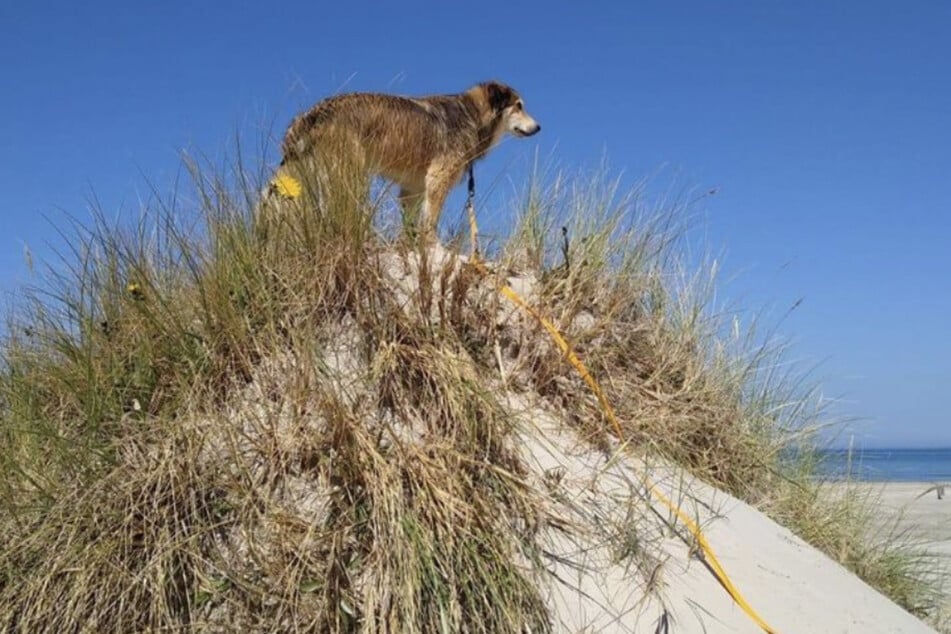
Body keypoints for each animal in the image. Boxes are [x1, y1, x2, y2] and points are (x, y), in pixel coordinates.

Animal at [278, 81, 540, 239]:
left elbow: (411, 226)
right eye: (518, 106)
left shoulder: (412, 189)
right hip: (350, 178)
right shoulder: (437, 180)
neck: (471, 115)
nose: (538, 127)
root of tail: (313, 113)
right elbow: (430, 223)